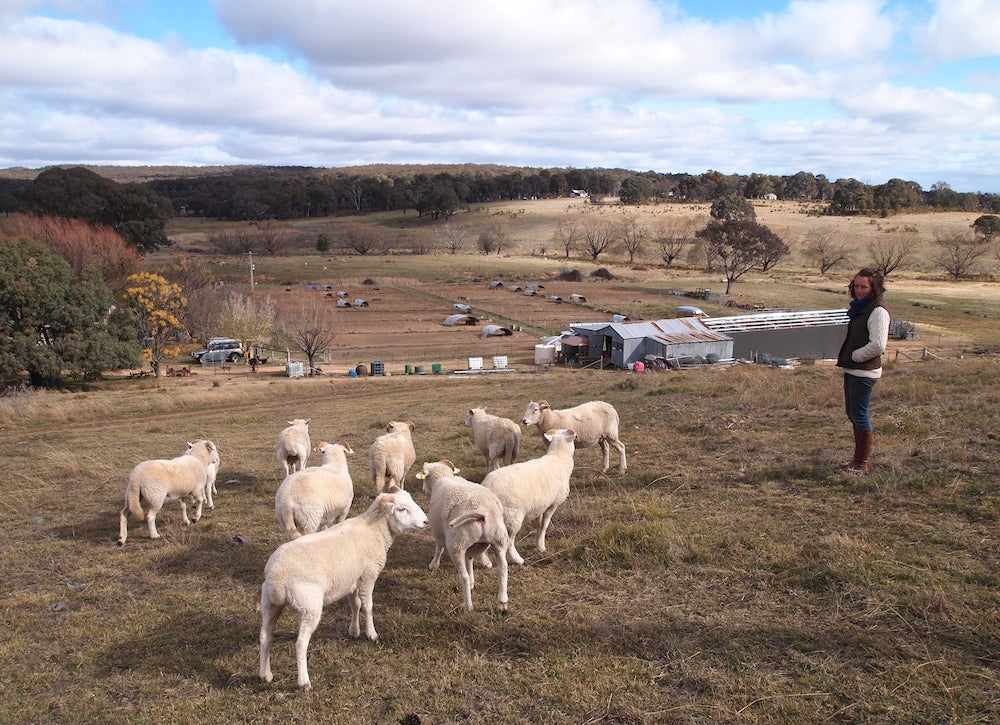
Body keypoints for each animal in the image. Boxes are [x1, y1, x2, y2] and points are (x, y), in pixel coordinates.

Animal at [258, 486, 426, 692]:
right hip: (309, 606)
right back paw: (304, 682)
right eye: (402, 509)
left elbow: (355, 605)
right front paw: (371, 634)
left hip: (270, 603)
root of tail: (277, 574)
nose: (426, 521)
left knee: (265, 637)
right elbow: (368, 606)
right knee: (300, 643)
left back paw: (265, 675)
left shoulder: (353, 579)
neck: (375, 531)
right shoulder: (368, 575)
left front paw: (354, 631)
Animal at [414, 458, 508, 612]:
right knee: (503, 569)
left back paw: (468, 605)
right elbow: (469, 561)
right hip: (498, 541)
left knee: (463, 576)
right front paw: (472, 583)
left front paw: (433, 565)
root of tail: (482, 513)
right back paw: (502, 602)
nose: (423, 490)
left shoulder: (438, 533)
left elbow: (438, 549)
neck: (443, 478)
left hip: (456, 544)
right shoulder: (471, 547)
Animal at [480, 424, 576, 564]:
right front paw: (542, 546)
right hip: (513, 517)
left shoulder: (540, 505)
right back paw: (518, 559)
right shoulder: (553, 504)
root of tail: (487, 488)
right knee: (509, 541)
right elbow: (545, 524)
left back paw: (486, 562)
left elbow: (539, 524)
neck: (559, 458)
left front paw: (538, 544)